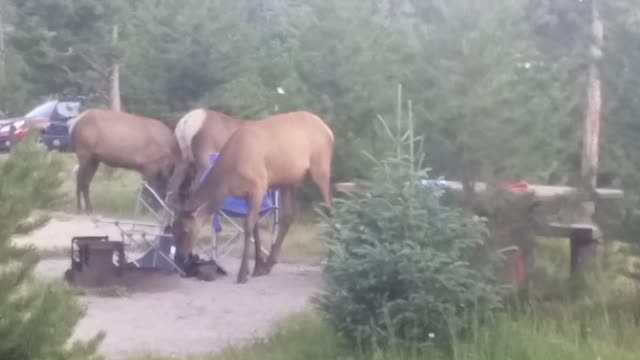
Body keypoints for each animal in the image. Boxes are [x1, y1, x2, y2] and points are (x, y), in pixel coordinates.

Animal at [172, 110, 338, 284]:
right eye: (173, 230)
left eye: (186, 229)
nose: (179, 258)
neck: (229, 178)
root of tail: (328, 130)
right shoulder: (247, 195)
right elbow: (255, 225)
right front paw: (258, 266)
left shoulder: (259, 186)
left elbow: (249, 226)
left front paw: (243, 273)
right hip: (288, 180)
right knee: (288, 215)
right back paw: (269, 263)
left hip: (321, 169)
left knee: (331, 210)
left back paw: (330, 261)